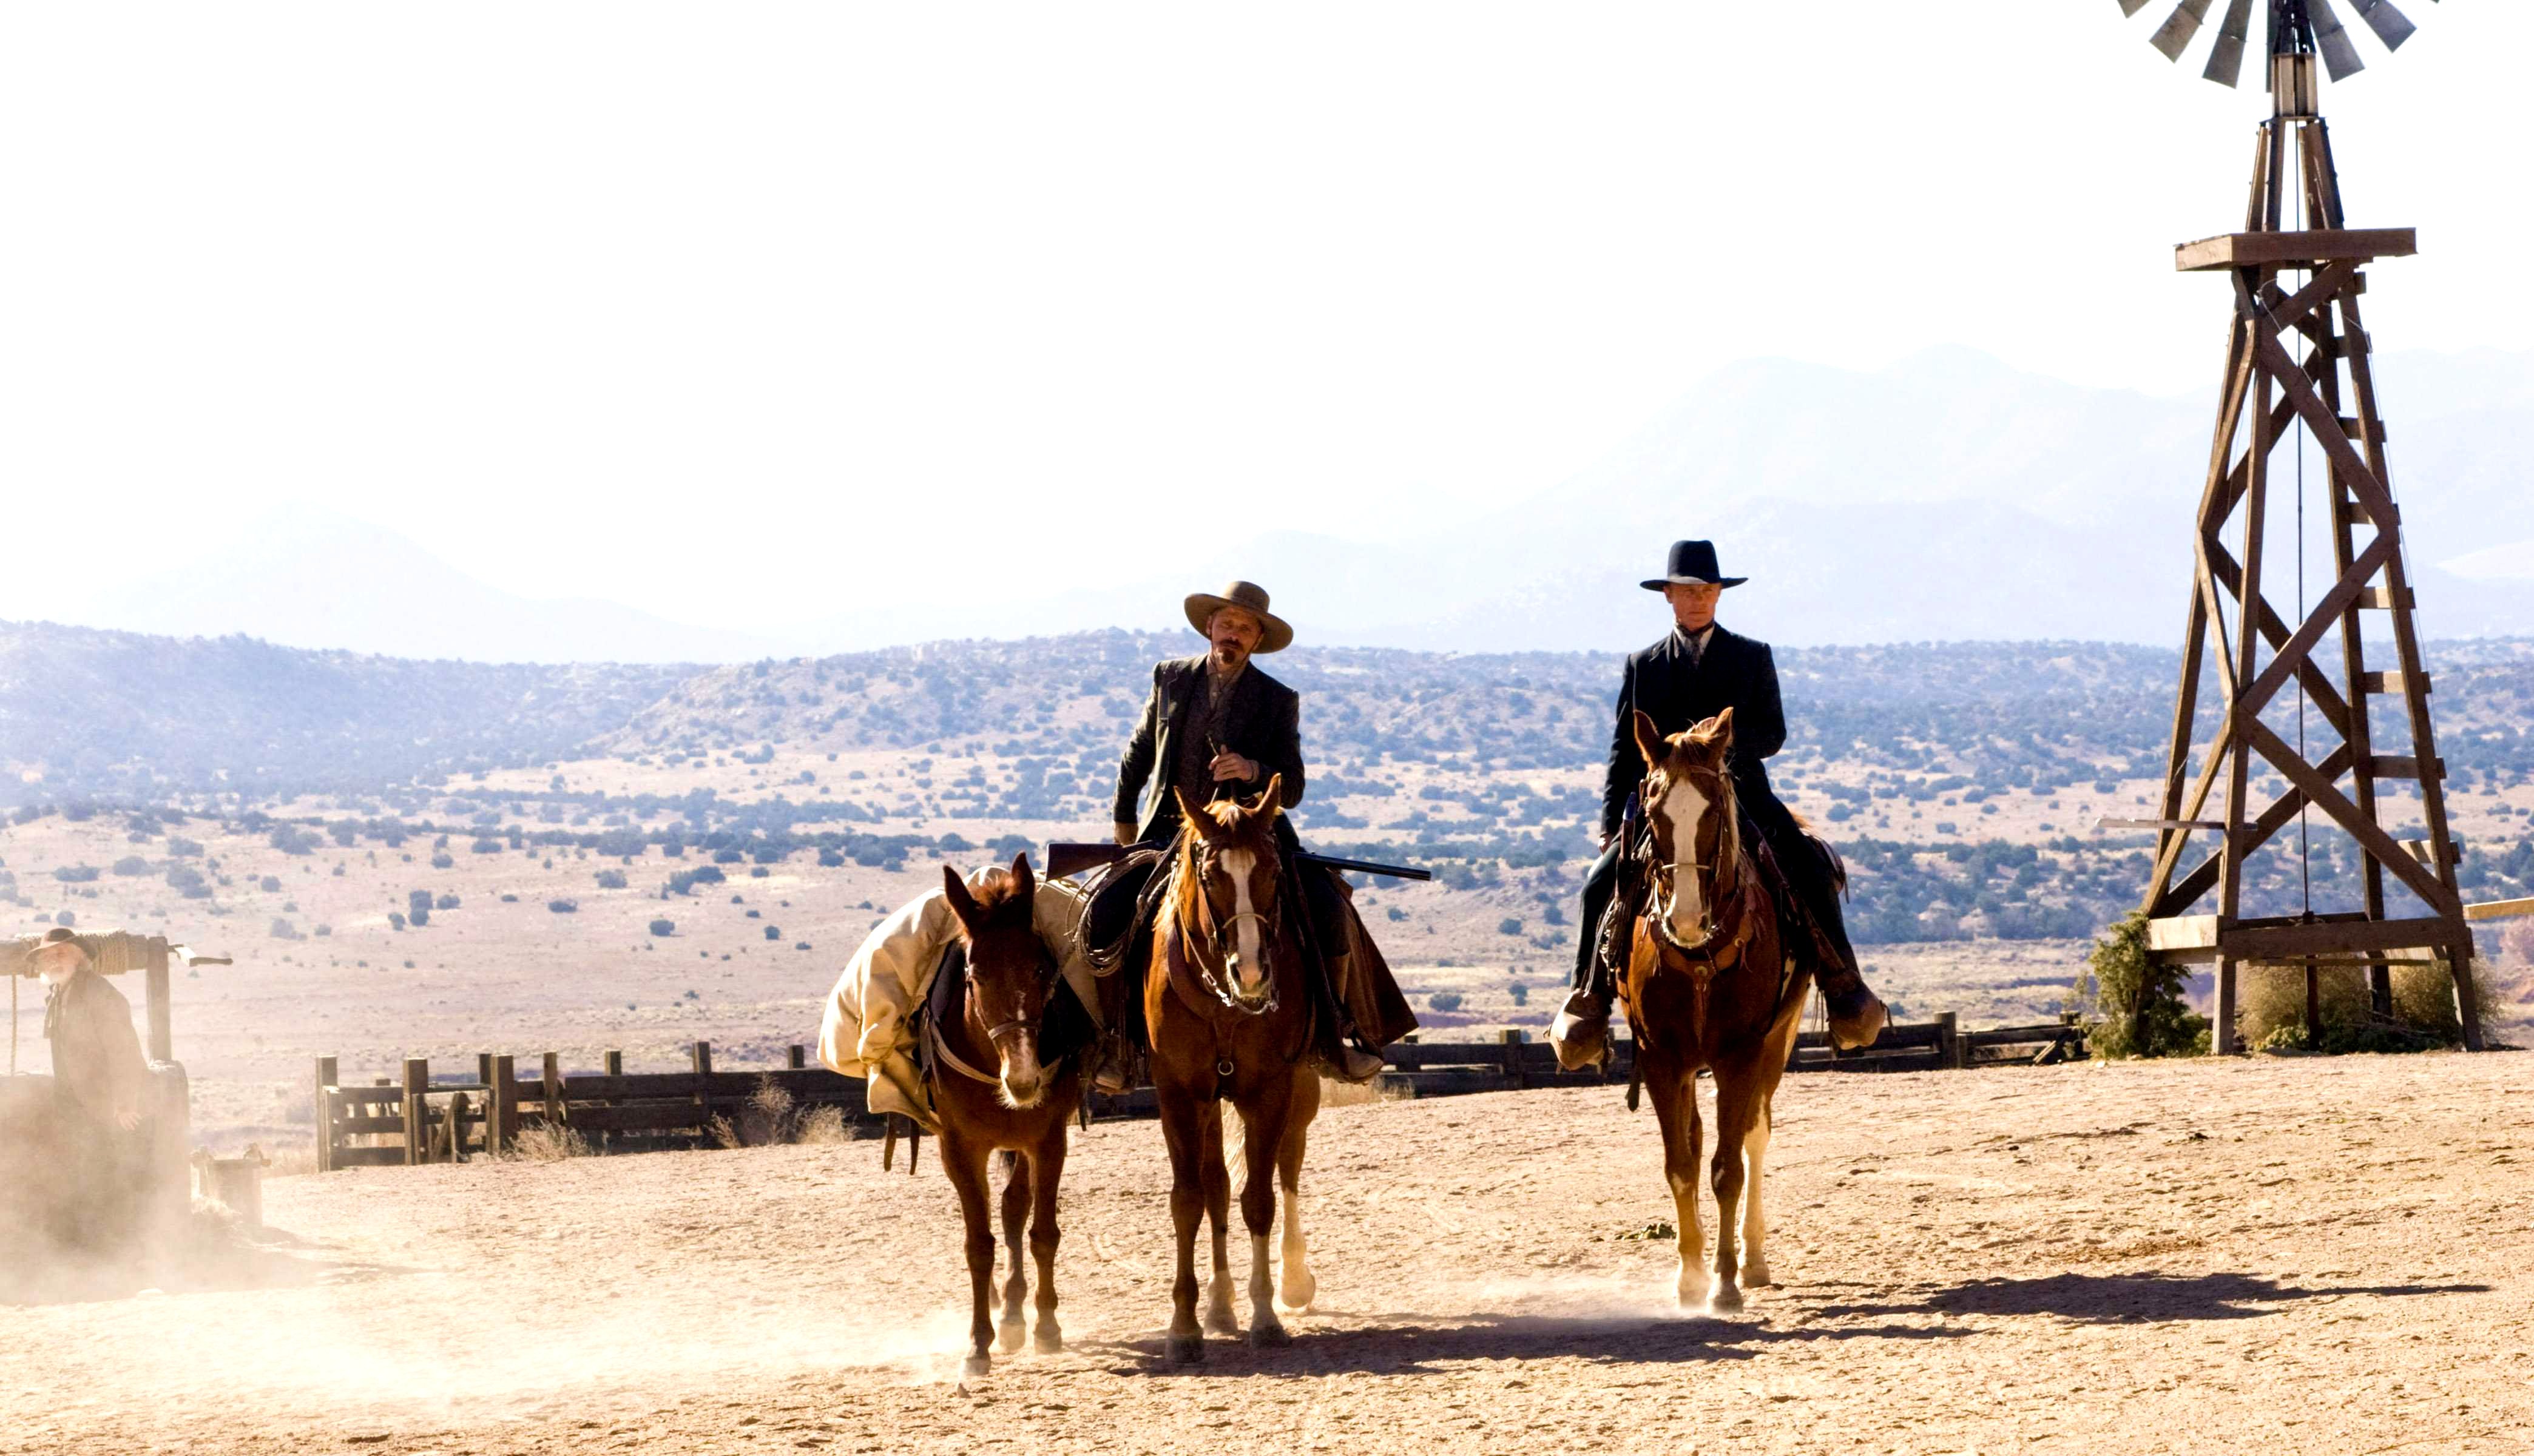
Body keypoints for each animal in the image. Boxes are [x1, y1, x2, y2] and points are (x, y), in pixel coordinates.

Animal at [938, 861, 1084, 1377]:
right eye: (976, 974)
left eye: (1040, 968)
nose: (1023, 1080)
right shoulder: (959, 1149)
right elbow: (978, 1246)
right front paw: (977, 1344)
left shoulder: (1049, 1140)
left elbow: (1043, 1234)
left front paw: (1047, 1328)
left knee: (1015, 1206)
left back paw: (1018, 1315)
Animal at [1140, 784, 1317, 1367]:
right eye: (1211, 875)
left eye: (1272, 870)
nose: (1254, 973)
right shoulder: (1179, 1094)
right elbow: (1189, 1200)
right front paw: (1184, 1327)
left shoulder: (1270, 1090)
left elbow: (1259, 1200)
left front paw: (1266, 1318)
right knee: (1216, 1184)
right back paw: (1219, 1306)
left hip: (1300, 1093)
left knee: (1289, 1168)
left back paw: (1294, 1281)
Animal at [1621, 714, 1824, 1316]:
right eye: (1653, 812)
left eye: (1713, 810)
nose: (1685, 919)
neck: (1698, 959)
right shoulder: (1661, 1059)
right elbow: (1681, 1165)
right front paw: (1689, 1277)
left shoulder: (1741, 1055)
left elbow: (1726, 1169)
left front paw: (1725, 1282)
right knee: (1694, 1138)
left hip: (1776, 1045)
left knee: (1756, 1138)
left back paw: (1753, 1261)